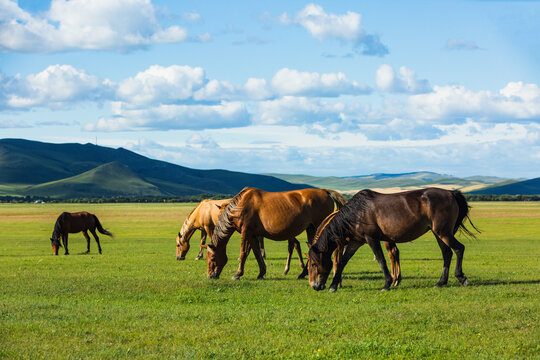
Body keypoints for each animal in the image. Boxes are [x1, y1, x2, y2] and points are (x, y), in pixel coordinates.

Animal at [205, 187, 344, 280]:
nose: (210, 276)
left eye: (212, 258)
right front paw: (261, 272)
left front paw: (238, 274)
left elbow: (243, 253)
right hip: (311, 229)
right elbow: (256, 253)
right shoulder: (253, 235)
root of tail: (324, 191)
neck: (239, 207)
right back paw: (303, 273)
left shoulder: (246, 232)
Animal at [306, 188, 478, 292]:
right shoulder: (357, 241)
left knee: (459, 249)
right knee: (447, 254)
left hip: (443, 232)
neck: (357, 212)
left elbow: (381, 260)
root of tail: (451, 192)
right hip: (439, 234)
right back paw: (441, 282)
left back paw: (461, 278)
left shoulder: (371, 239)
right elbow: (343, 261)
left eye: (313, 264)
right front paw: (333, 286)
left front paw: (387, 283)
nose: (315, 286)